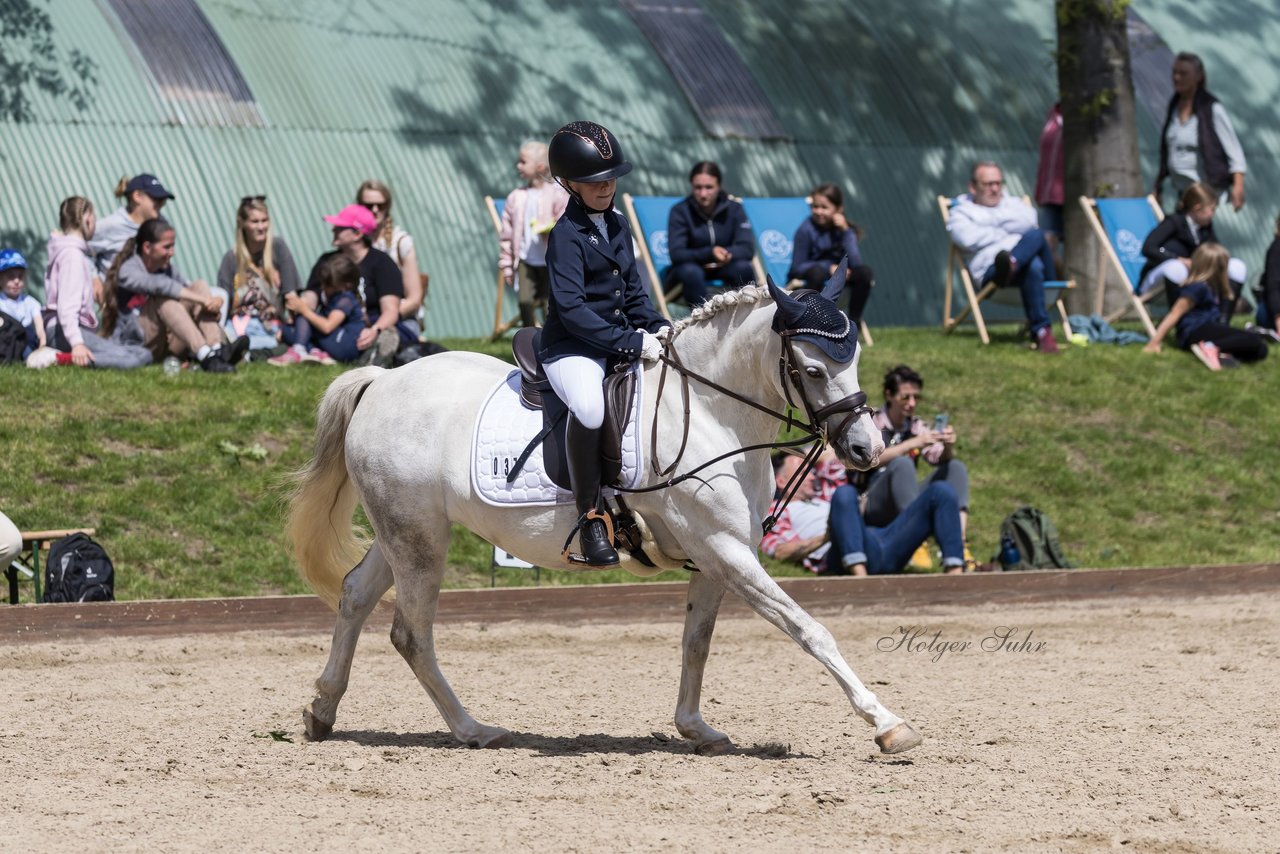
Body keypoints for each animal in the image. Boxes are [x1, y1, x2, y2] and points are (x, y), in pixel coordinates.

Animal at [293, 279, 921, 752]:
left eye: (854, 359)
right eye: (813, 370)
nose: (867, 449)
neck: (712, 411)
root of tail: (382, 380)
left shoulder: (717, 557)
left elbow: (697, 642)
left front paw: (696, 728)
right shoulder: (727, 550)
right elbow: (809, 629)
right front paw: (887, 723)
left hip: (400, 533)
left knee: (355, 596)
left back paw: (322, 711)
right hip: (420, 539)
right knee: (411, 633)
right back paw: (475, 730)